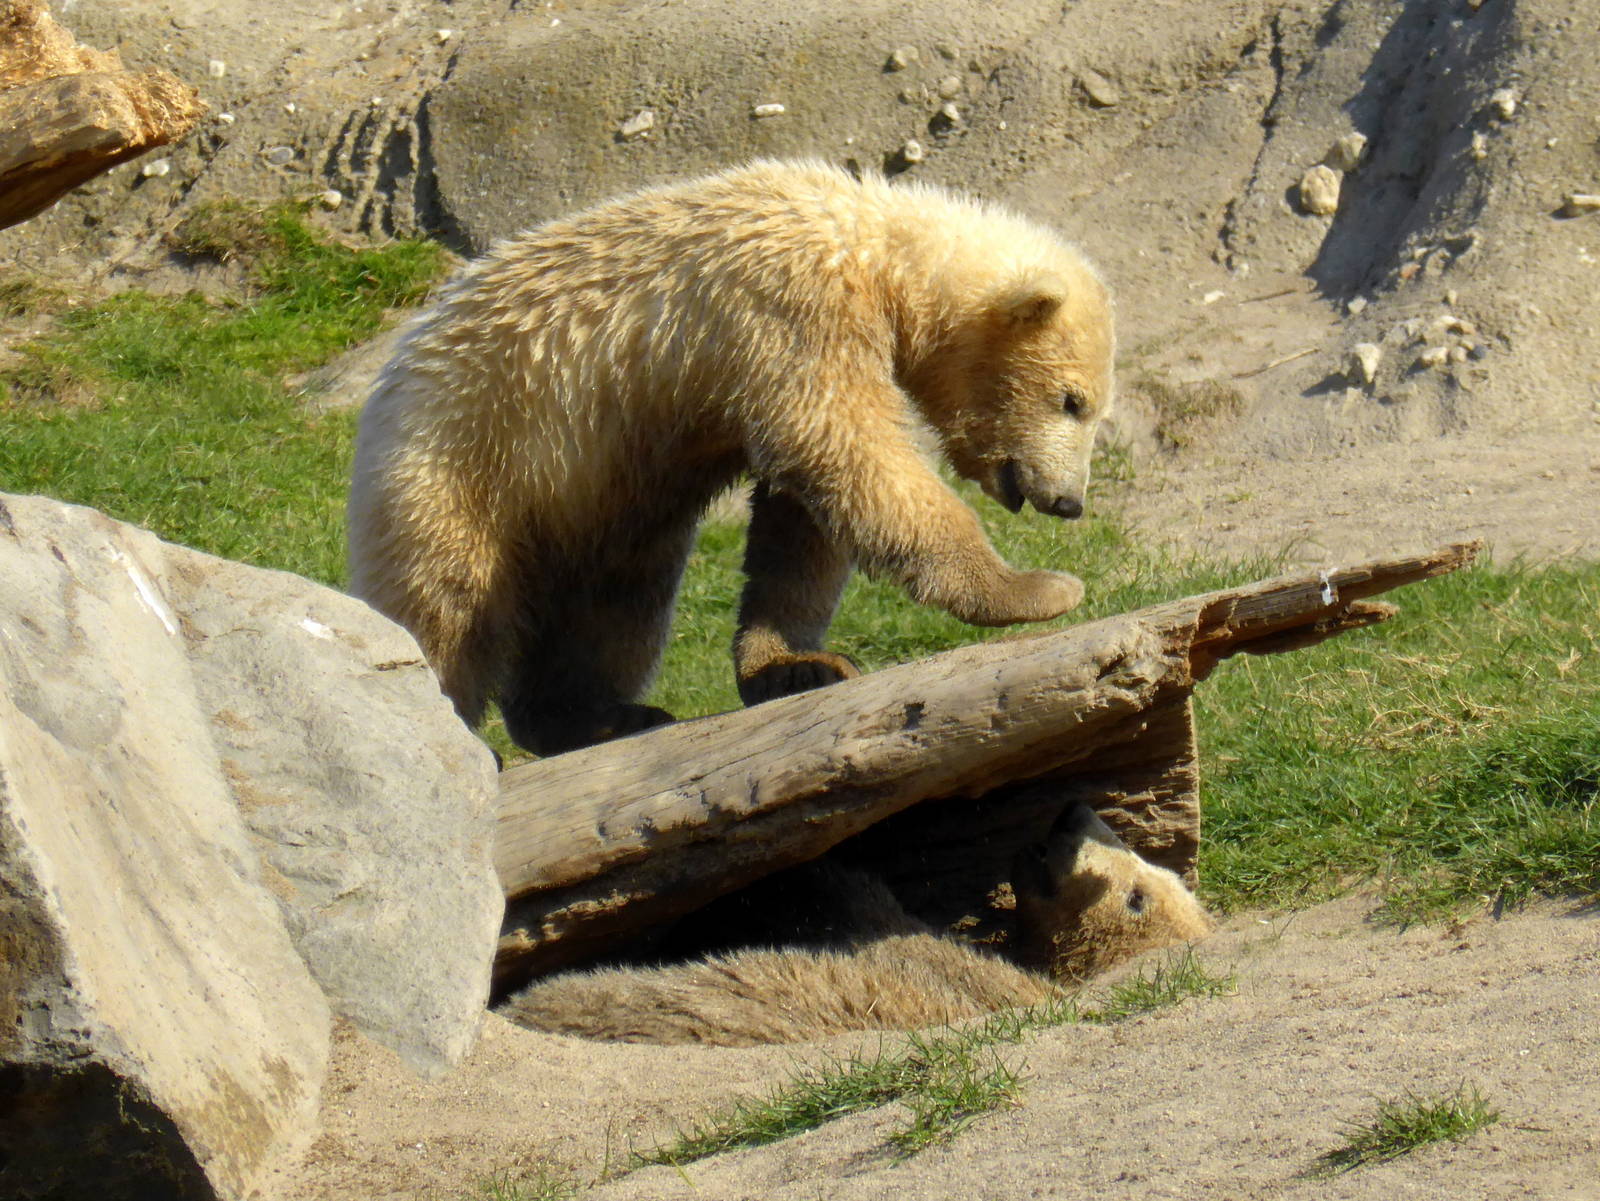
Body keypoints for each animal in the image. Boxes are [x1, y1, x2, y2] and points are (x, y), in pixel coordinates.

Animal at [347, 160, 1115, 755]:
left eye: (1094, 409)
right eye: (1072, 400)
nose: (1069, 501)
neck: (869, 243)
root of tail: (388, 386)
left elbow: (801, 517)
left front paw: (797, 664)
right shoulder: (790, 309)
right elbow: (851, 454)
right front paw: (1039, 588)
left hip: (599, 506)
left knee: (615, 604)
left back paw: (602, 715)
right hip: (459, 462)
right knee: (449, 606)